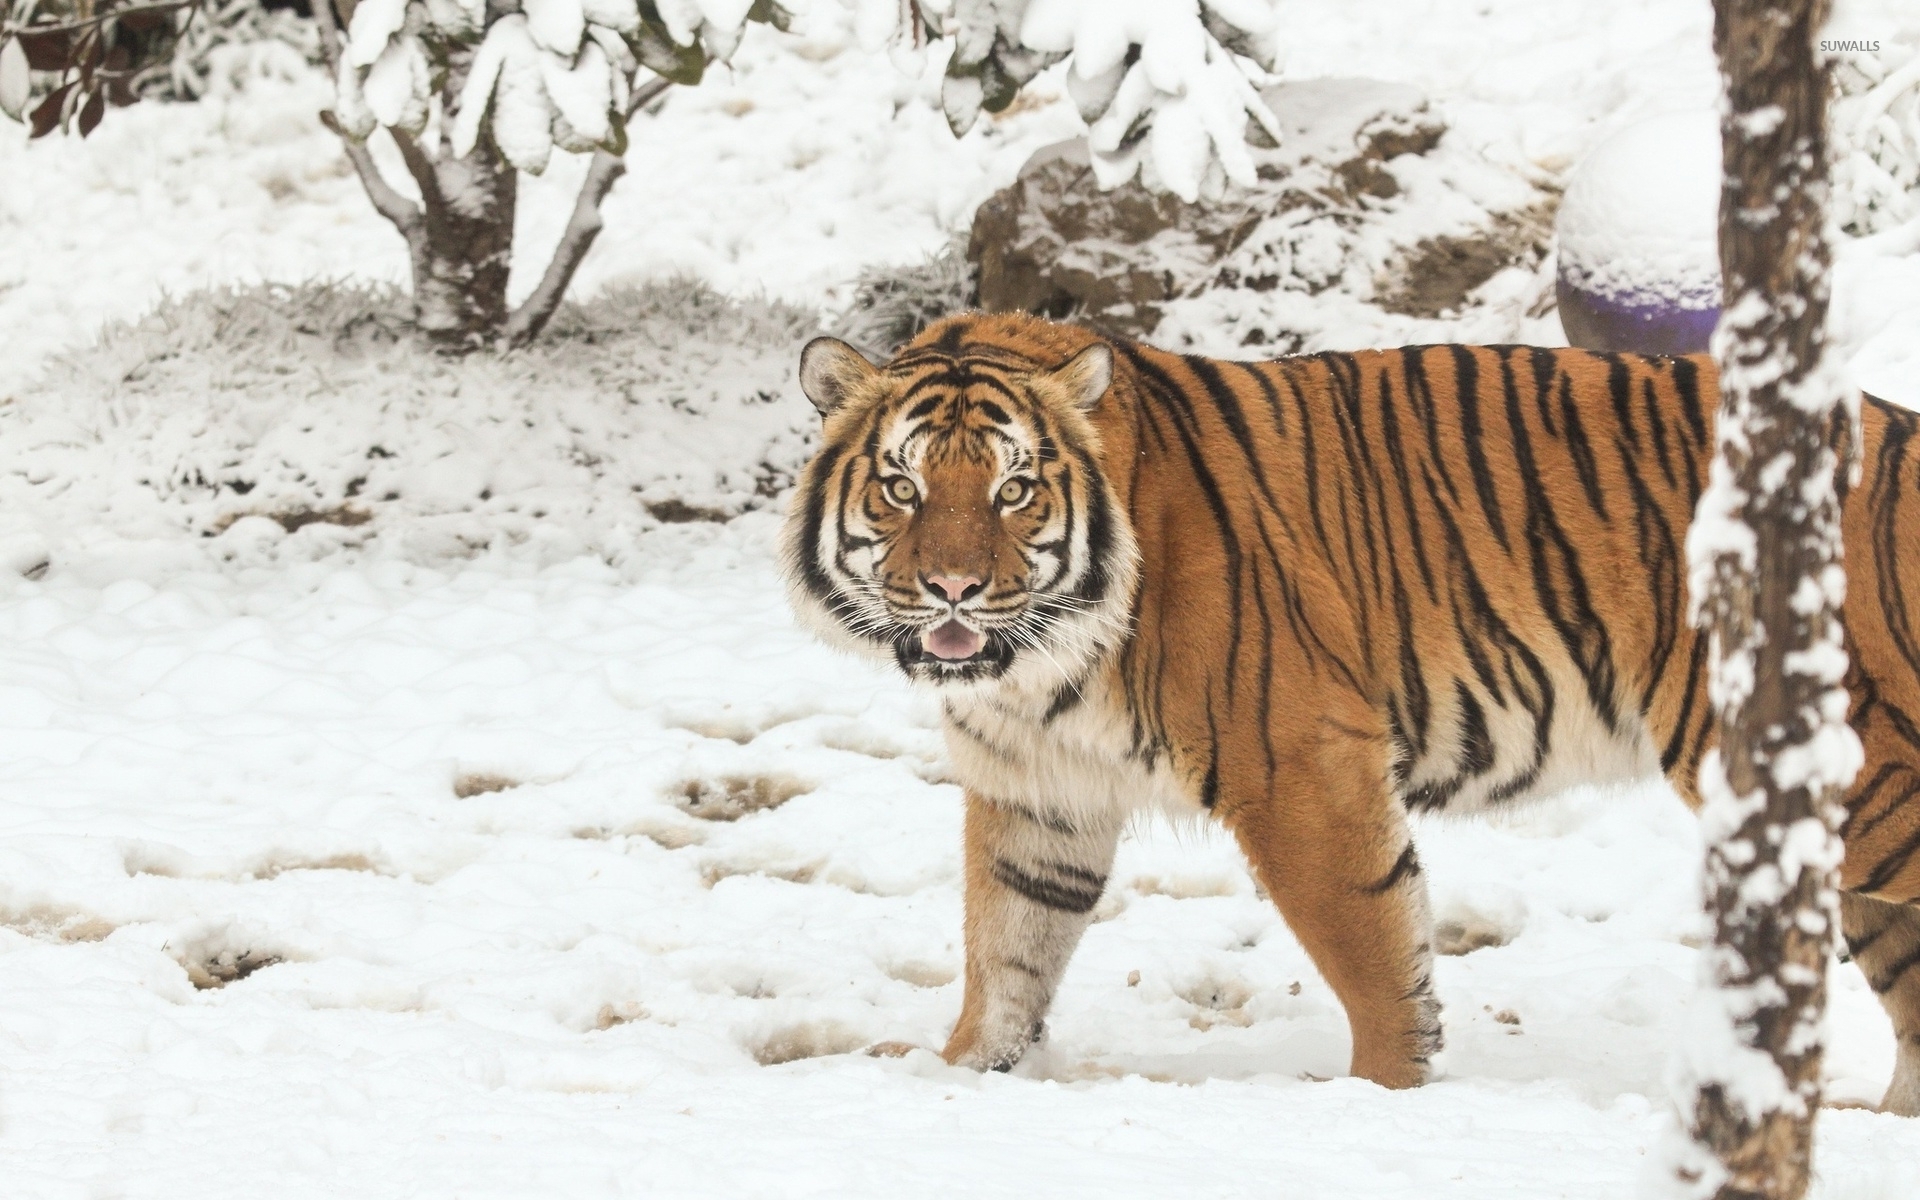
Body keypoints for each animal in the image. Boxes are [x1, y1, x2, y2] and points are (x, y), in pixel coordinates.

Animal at [780, 311, 1920, 1114]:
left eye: (1014, 490)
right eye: (901, 487)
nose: (954, 591)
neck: (1035, 671)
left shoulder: (1301, 767)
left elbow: (1372, 950)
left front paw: (1383, 1097)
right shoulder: (1037, 794)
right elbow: (1008, 948)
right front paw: (964, 1071)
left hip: (1858, 784)